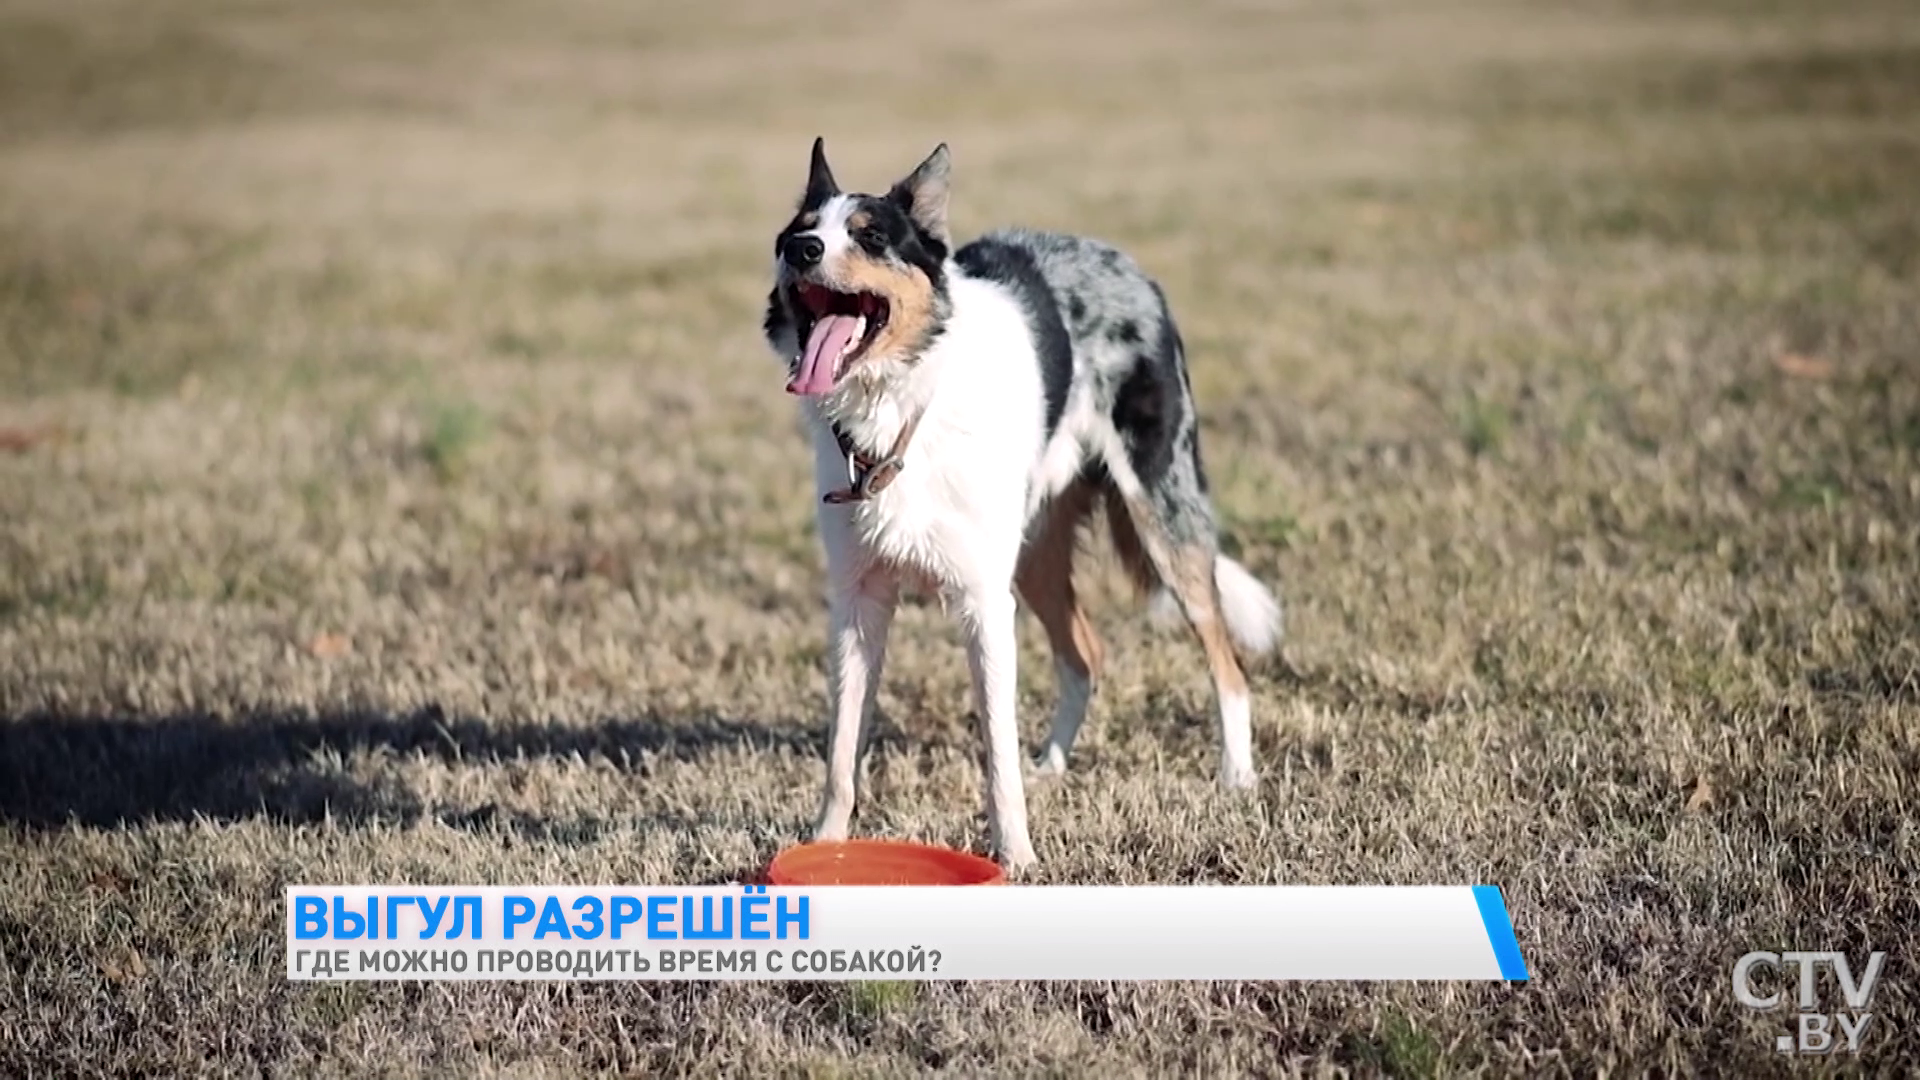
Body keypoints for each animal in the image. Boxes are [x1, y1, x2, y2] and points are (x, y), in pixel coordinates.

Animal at [756, 141, 1282, 864]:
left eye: (870, 236)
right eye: (799, 230)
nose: (802, 249)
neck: (901, 411)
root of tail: (1128, 267)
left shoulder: (983, 602)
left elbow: (995, 751)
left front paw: (1017, 857)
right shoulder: (858, 603)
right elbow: (841, 751)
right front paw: (827, 847)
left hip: (1164, 520)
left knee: (1225, 661)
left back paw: (1236, 775)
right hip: (1035, 554)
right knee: (1084, 656)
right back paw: (1053, 764)